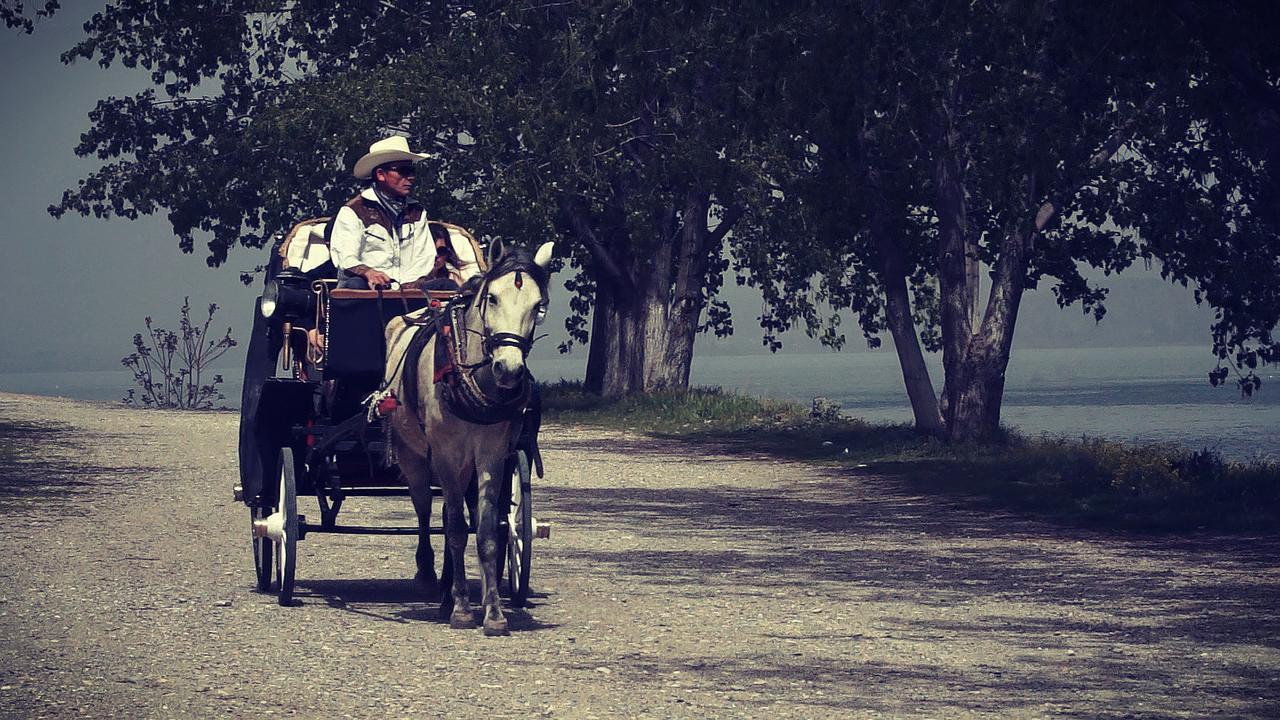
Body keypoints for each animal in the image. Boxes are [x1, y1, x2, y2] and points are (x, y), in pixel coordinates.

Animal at [384, 238, 555, 630]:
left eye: (538, 305)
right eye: (492, 297)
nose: (509, 369)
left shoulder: (491, 454)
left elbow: (486, 530)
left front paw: (492, 610)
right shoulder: (445, 454)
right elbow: (455, 529)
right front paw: (463, 607)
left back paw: (448, 591)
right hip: (413, 456)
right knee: (426, 508)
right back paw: (430, 577)